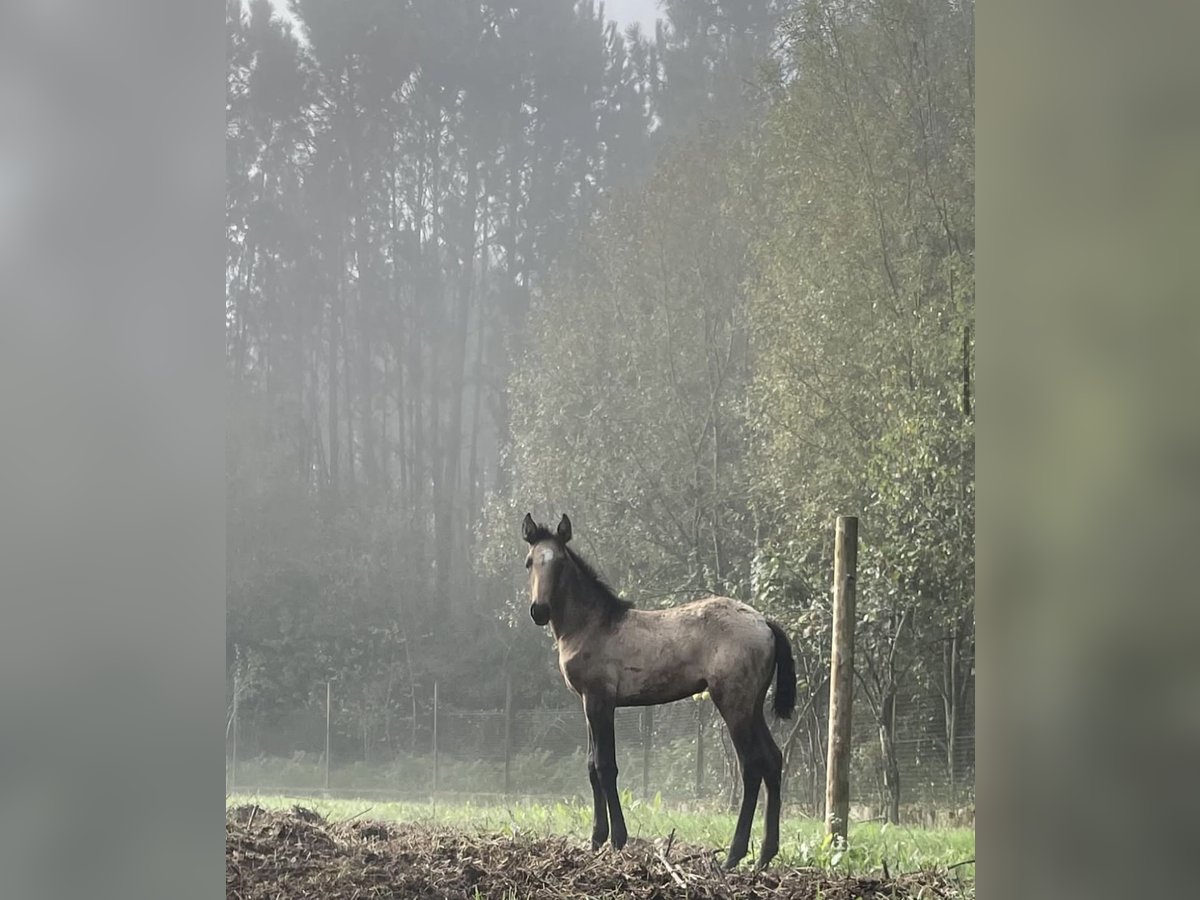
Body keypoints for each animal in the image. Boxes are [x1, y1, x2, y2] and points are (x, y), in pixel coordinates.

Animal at [520, 518, 792, 868]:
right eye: (530, 562)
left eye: (561, 562)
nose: (539, 611)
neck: (592, 625)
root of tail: (765, 622)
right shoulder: (587, 703)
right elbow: (592, 766)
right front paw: (596, 839)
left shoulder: (600, 700)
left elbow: (606, 766)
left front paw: (617, 839)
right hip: (753, 705)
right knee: (772, 759)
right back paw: (764, 856)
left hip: (734, 704)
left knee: (751, 766)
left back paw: (733, 856)